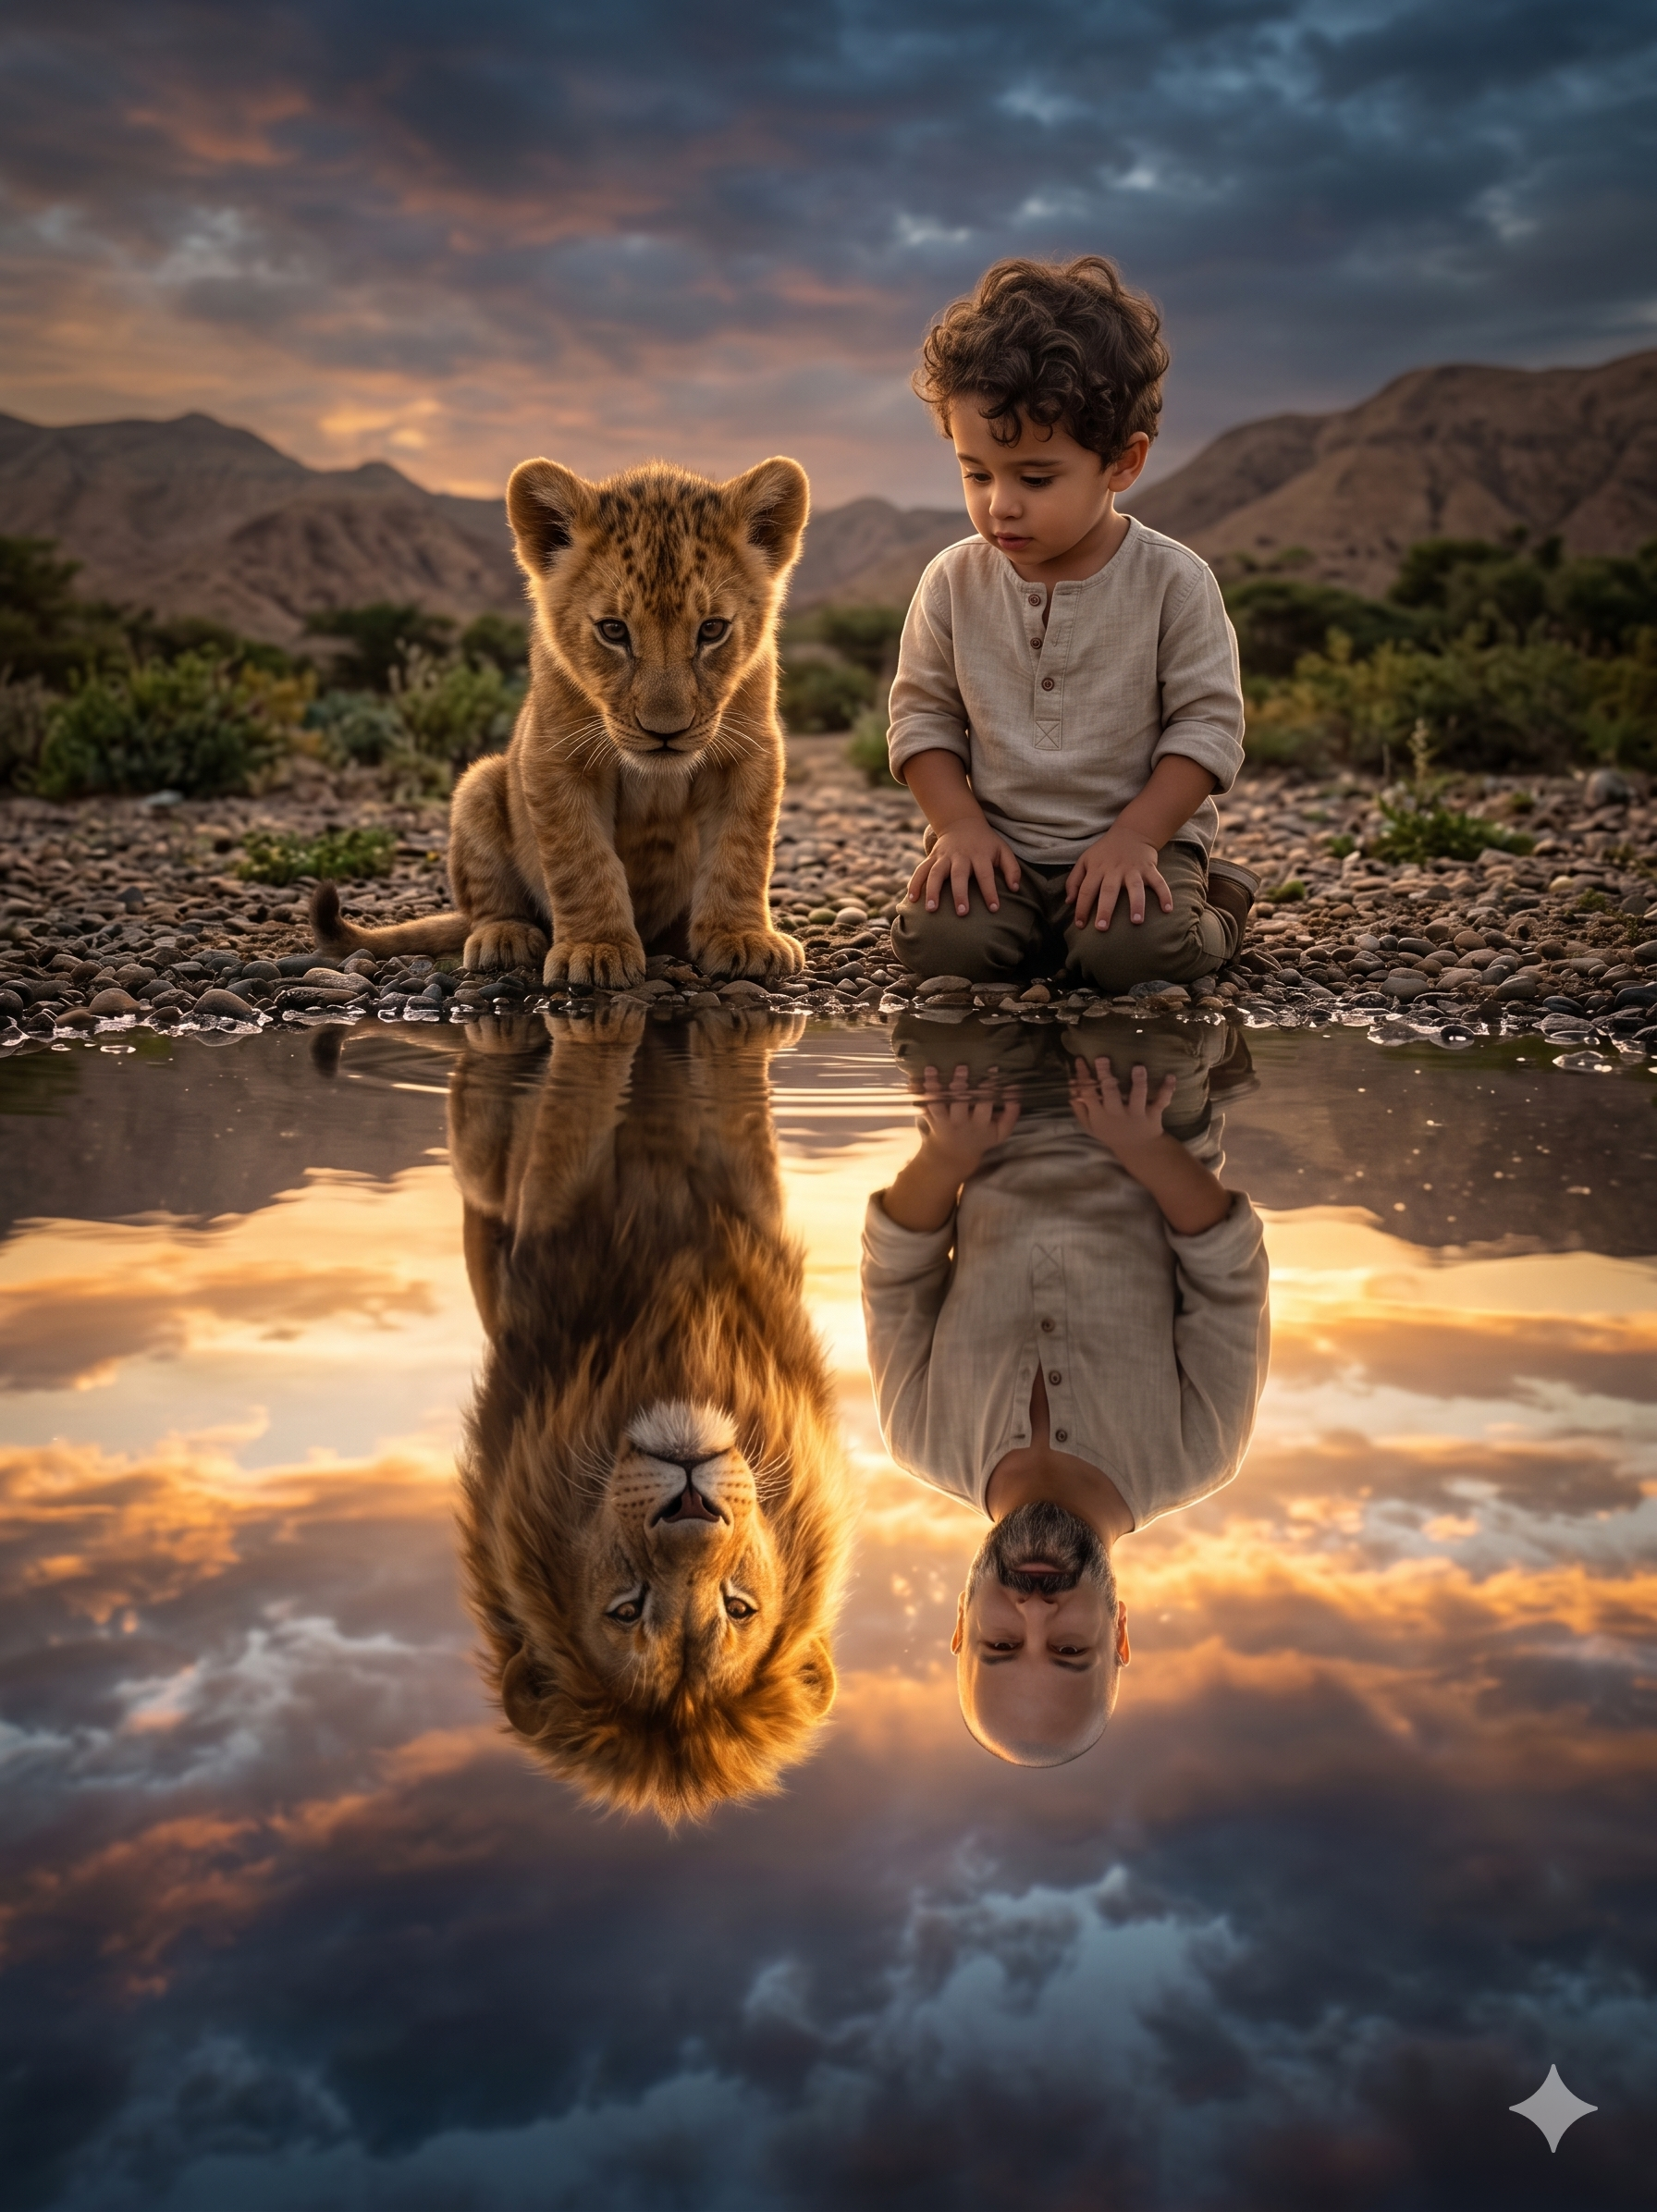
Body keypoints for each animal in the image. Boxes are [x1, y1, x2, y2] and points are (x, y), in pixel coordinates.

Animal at [311, 455, 811, 989]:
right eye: (613, 631)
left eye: (712, 629)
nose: (665, 732)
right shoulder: (555, 756)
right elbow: (581, 859)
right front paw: (595, 949)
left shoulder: (749, 753)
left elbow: (742, 852)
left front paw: (742, 937)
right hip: (479, 782)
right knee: (485, 905)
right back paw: (504, 938)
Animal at [444, 1005, 848, 1821]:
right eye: (627, 1610)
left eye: (739, 1609)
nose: (690, 1503)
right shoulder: (552, 1215)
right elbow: (579, 1106)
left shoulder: (748, 1203)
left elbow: (736, 1109)